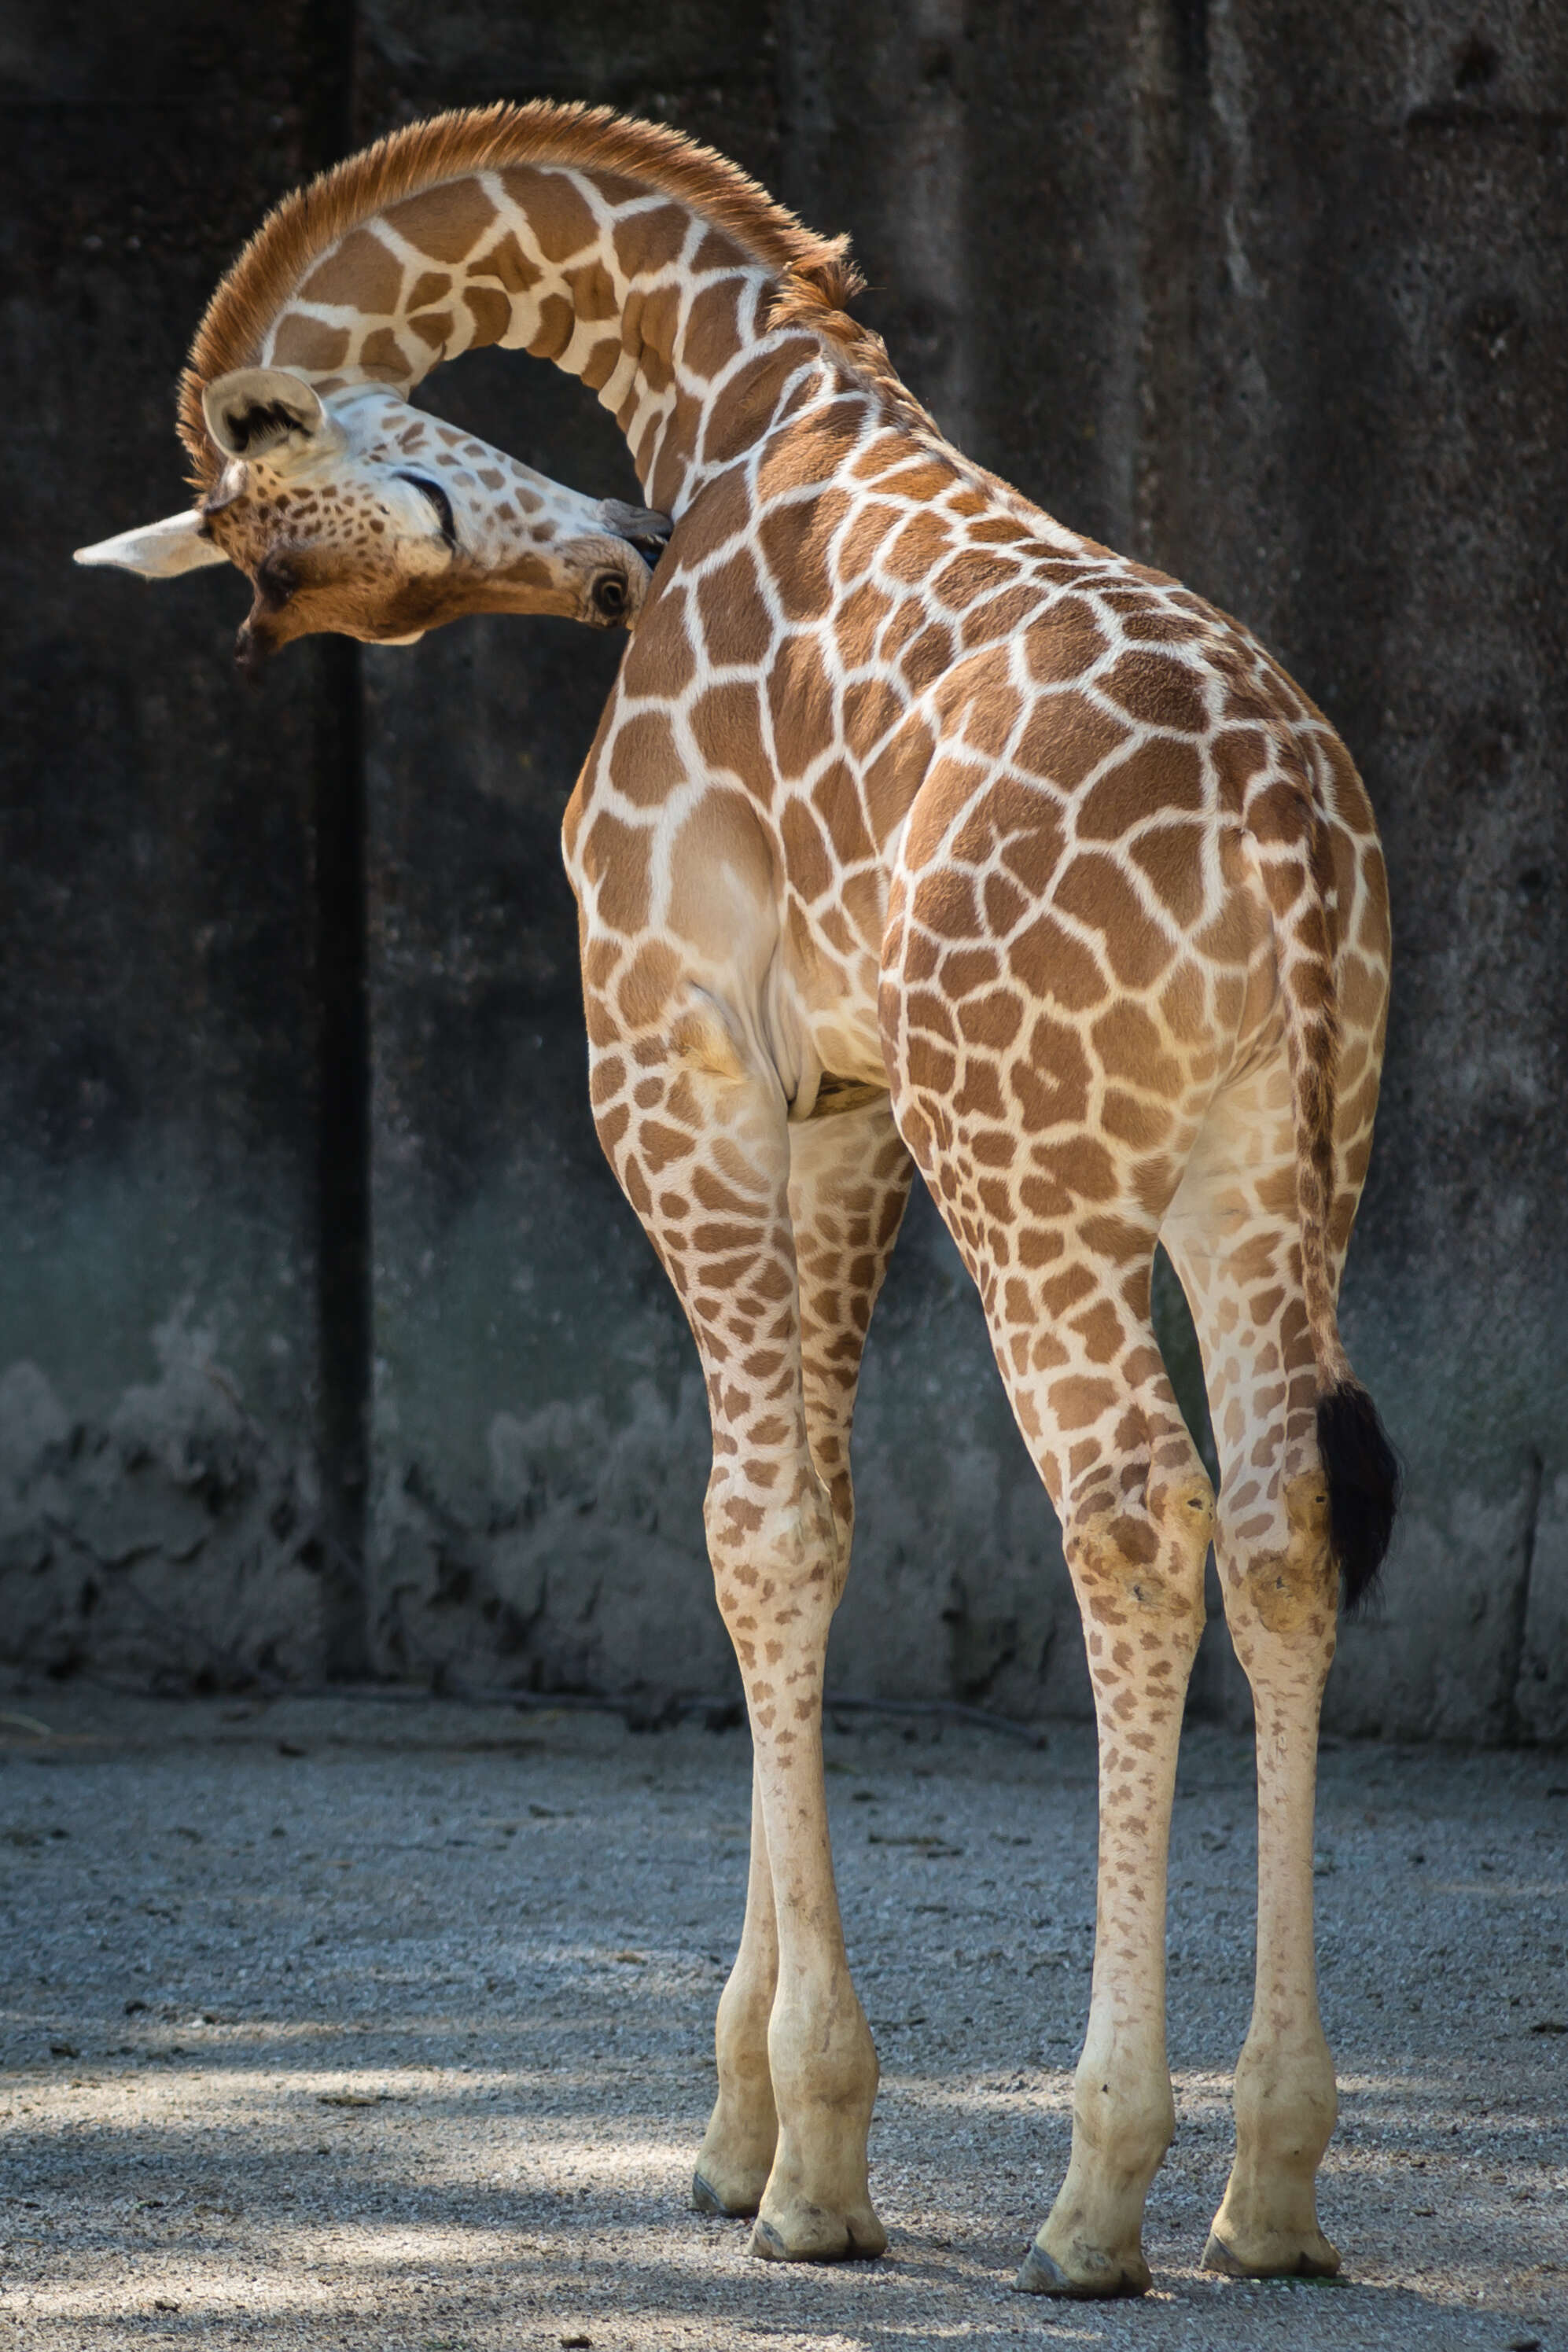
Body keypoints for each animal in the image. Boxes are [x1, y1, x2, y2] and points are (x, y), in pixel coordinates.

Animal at [83, 105, 1410, 2295]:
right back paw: (1272, 2189)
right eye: (325, 579)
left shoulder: (677, 1060)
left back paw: (1093, 2195)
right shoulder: (846, 1106)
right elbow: (818, 1514)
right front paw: (745, 2128)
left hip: (1037, 1162)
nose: (619, 560)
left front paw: (806, 2160)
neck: (737, 389)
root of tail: (1287, 837)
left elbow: (747, 1529)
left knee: (1134, 1523)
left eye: (411, 496)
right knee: (1282, 1524)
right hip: (1277, 1161)